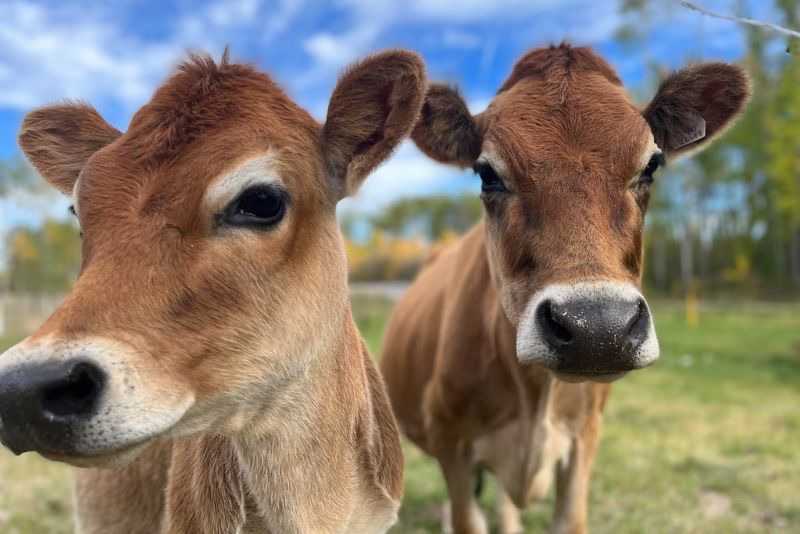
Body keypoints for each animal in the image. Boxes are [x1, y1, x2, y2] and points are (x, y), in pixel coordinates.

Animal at [380, 43, 750, 534]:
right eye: (486, 173)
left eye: (651, 165)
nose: (599, 329)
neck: (535, 395)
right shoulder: (450, 441)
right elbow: (466, 516)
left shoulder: (585, 436)